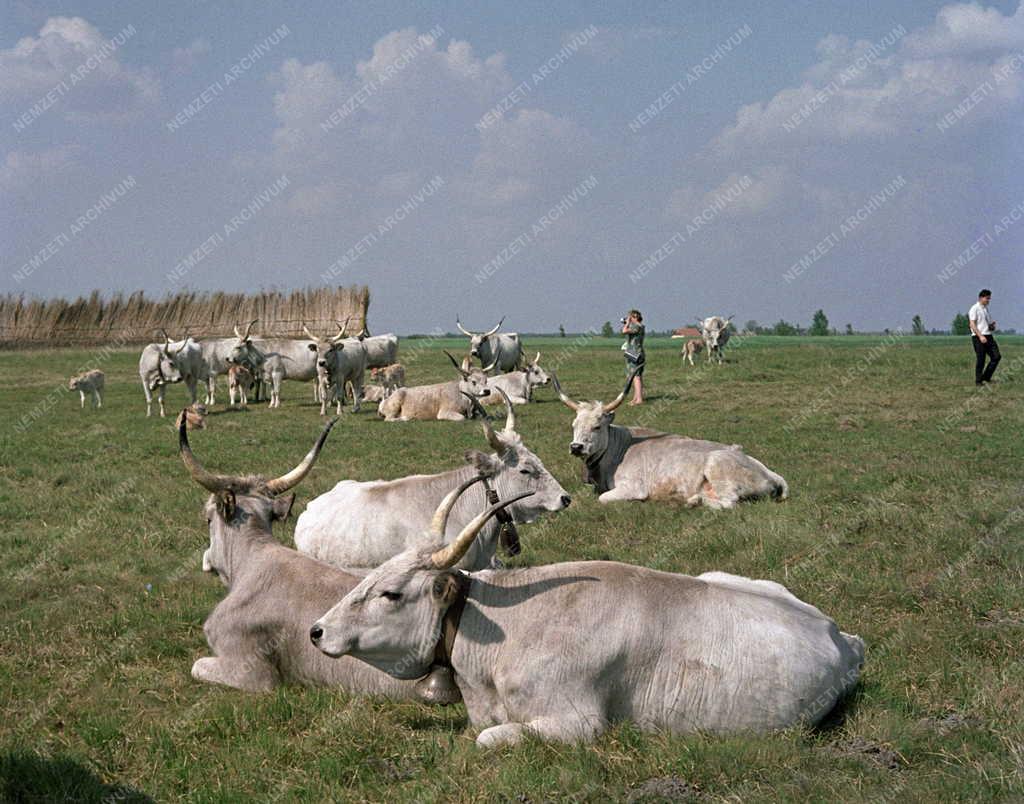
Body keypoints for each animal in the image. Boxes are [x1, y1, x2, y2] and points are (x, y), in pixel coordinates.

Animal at [552, 366, 782, 505]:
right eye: (574, 425)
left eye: (597, 426)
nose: (576, 447)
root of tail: (769, 473)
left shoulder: (633, 488)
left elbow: (602, 499)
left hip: (718, 468)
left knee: (728, 502)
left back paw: (693, 502)